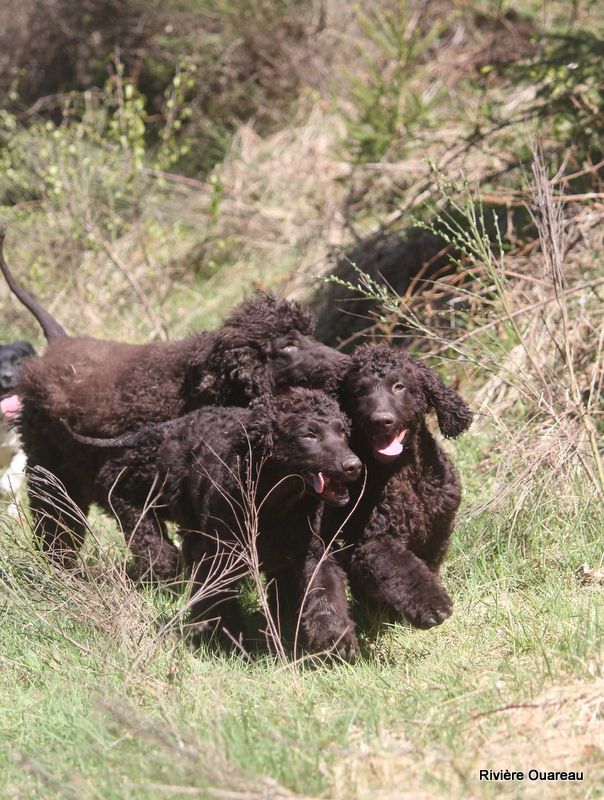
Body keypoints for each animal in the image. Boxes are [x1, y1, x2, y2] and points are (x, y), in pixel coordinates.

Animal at [72, 390, 364, 660]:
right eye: (309, 435)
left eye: (342, 432)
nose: (354, 466)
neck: (272, 502)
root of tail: (180, 422)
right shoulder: (220, 554)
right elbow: (218, 598)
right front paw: (222, 638)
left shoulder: (312, 551)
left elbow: (325, 589)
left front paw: (336, 639)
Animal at [330, 344, 472, 632]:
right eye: (359, 391)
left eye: (399, 387)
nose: (381, 420)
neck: (404, 475)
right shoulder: (373, 538)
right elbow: (402, 567)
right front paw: (430, 605)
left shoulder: (439, 528)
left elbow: (427, 564)